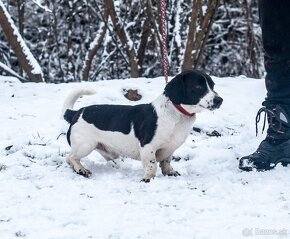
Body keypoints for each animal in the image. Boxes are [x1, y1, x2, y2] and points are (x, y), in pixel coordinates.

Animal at [62, 70, 223, 182]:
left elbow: (166, 162)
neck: (176, 114)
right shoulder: (148, 147)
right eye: (198, 86)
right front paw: (148, 179)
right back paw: (81, 170)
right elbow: (152, 165)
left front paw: (169, 172)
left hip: (108, 152)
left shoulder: (169, 149)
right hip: (85, 145)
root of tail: (76, 112)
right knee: (70, 158)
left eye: (213, 86)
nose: (219, 100)